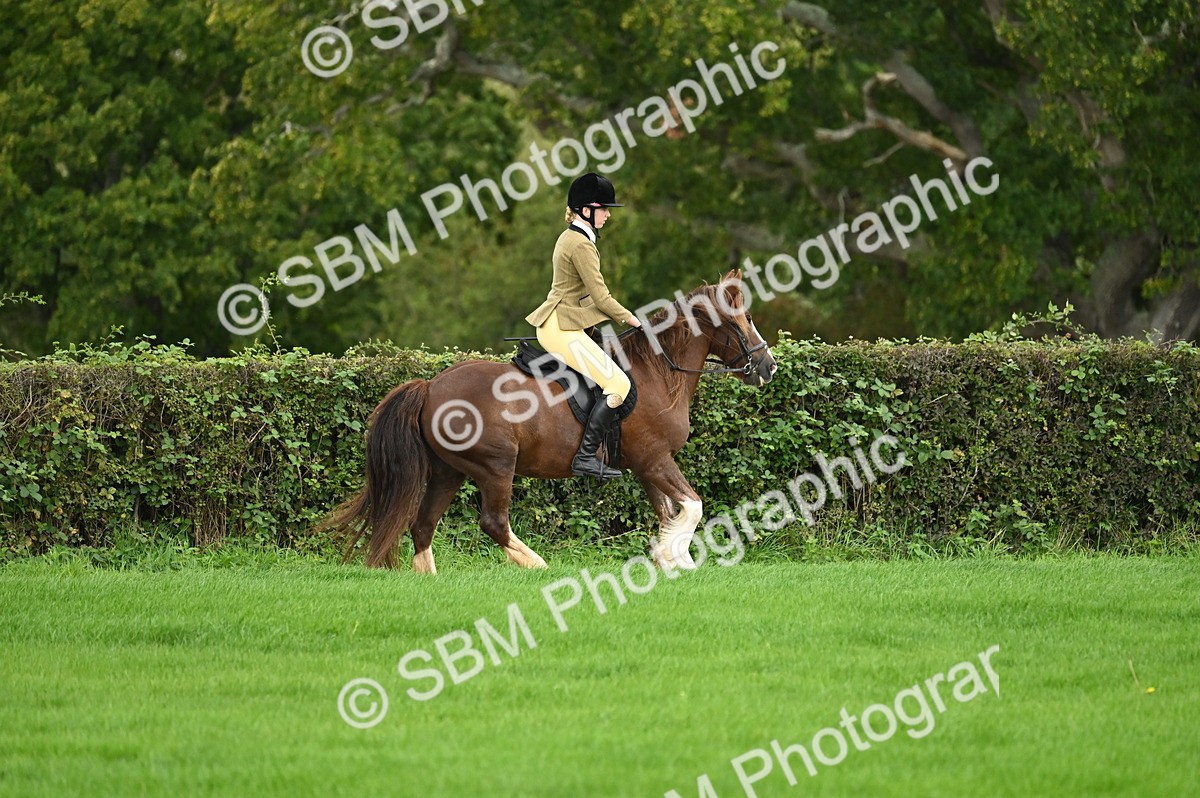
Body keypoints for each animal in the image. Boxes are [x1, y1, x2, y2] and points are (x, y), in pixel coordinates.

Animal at [317, 269, 777, 572]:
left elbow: (671, 513)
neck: (658, 372)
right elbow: (693, 507)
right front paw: (677, 558)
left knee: (423, 524)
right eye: (744, 320)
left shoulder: (648, 465)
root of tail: (431, 386)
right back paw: (538, 565)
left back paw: (429, 577)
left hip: (449, 471)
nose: (768, 367)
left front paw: (671, 560)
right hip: (496, 466)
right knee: (493, 522)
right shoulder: (655, 460)